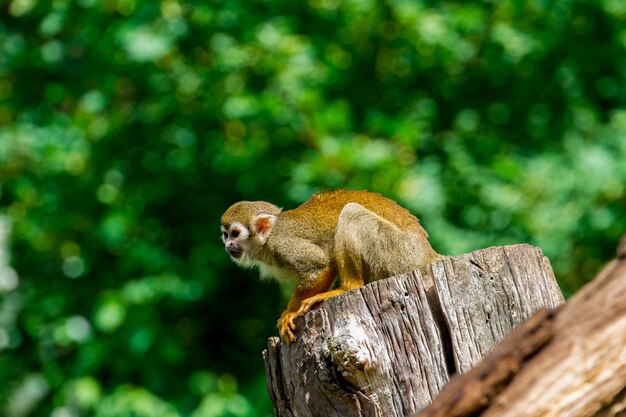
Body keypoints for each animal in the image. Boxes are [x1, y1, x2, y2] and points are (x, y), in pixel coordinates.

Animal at [221, 190, 438, 342]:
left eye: (235, 234)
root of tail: (427, 253)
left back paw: (348, 287)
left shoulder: (283, 246)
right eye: (225, 235)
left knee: (351, 212)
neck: (268, 237)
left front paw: (290, 312)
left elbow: (321, 267)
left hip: (399, 251)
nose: (227, 245)